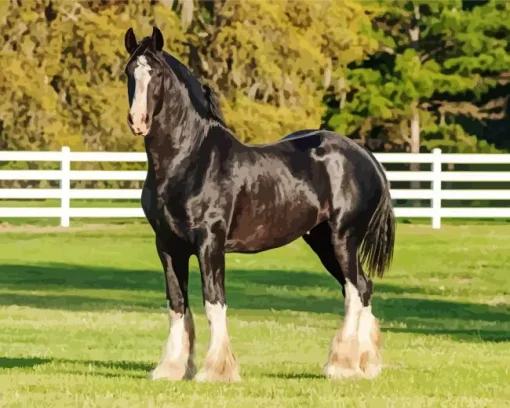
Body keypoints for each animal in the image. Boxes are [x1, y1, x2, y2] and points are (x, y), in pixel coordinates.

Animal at [122, 27, 394, 382]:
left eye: (157, 74)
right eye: (129, 72)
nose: (138, 120)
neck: (190, 160)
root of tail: (367, 158)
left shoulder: (210, 244)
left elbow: (214, 302)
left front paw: (215, 370)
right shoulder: (168, 246)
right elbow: (177, 303)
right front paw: (171, 368)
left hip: (343, 240)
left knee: (353, 292)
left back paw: (340, 365)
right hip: (323, 242)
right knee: (363, 287)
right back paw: (365, 364)